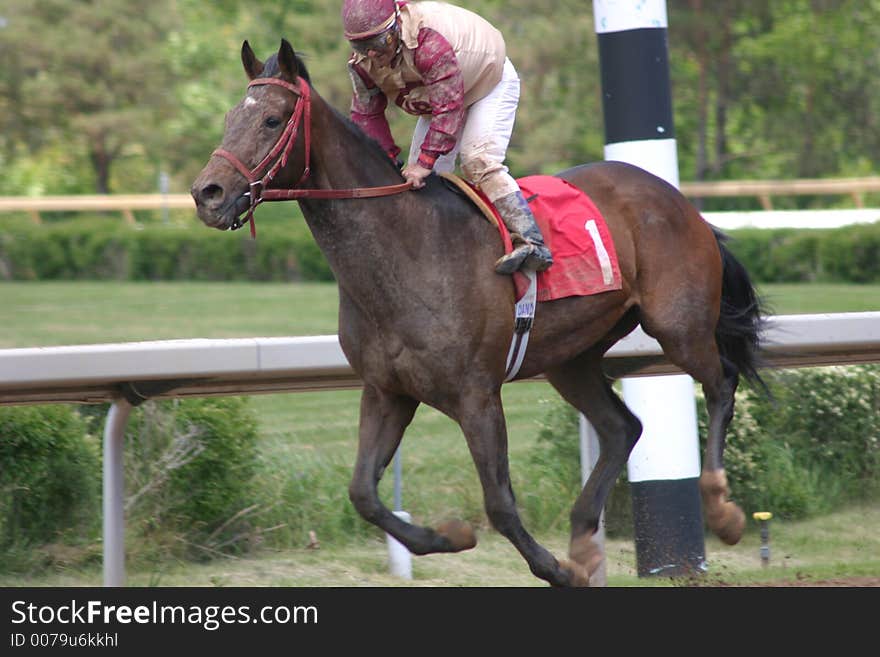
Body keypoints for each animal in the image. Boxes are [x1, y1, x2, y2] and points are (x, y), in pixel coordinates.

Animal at [191, 38, 764, 588]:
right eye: (230, 116)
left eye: (271, 119)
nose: (206, 193)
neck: (407, 252)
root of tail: (678, 199)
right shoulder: (387, 390)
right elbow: (364, 495)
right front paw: (451, 536)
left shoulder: (476, 395)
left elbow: (500, 503)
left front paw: (557, 570)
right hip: (571, 359)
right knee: (623, 427)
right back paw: (584, 538)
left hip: (677, 325)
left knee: (721, 382)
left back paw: (722, 510)